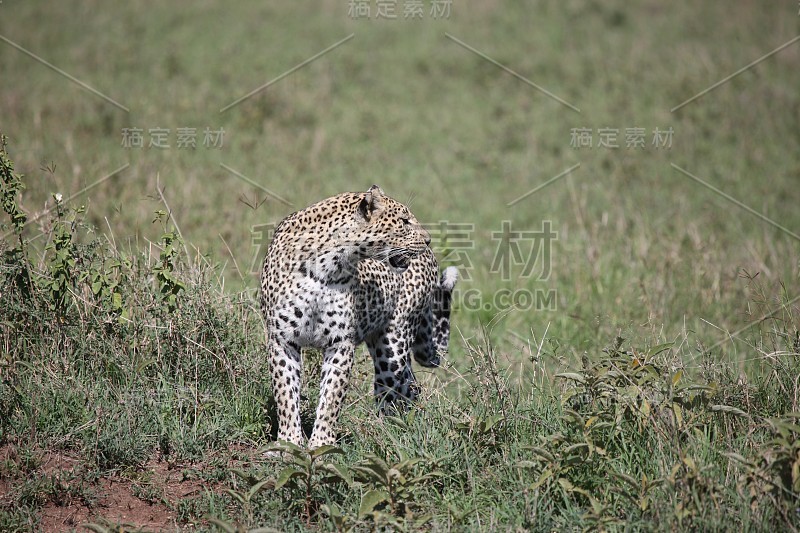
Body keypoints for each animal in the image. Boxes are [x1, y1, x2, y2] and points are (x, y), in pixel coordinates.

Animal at [260, 185, 456, 446]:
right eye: (404, 221)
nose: (428, 239)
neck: (326, 265)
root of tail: (431, 258)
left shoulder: (340, 343)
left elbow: (331, 398)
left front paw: (321, 444)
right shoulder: (282, 339)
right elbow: (285, 394)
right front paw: (289, 442)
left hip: (392, 345)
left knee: (393, 390)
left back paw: (386, 433)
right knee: (410, 385)